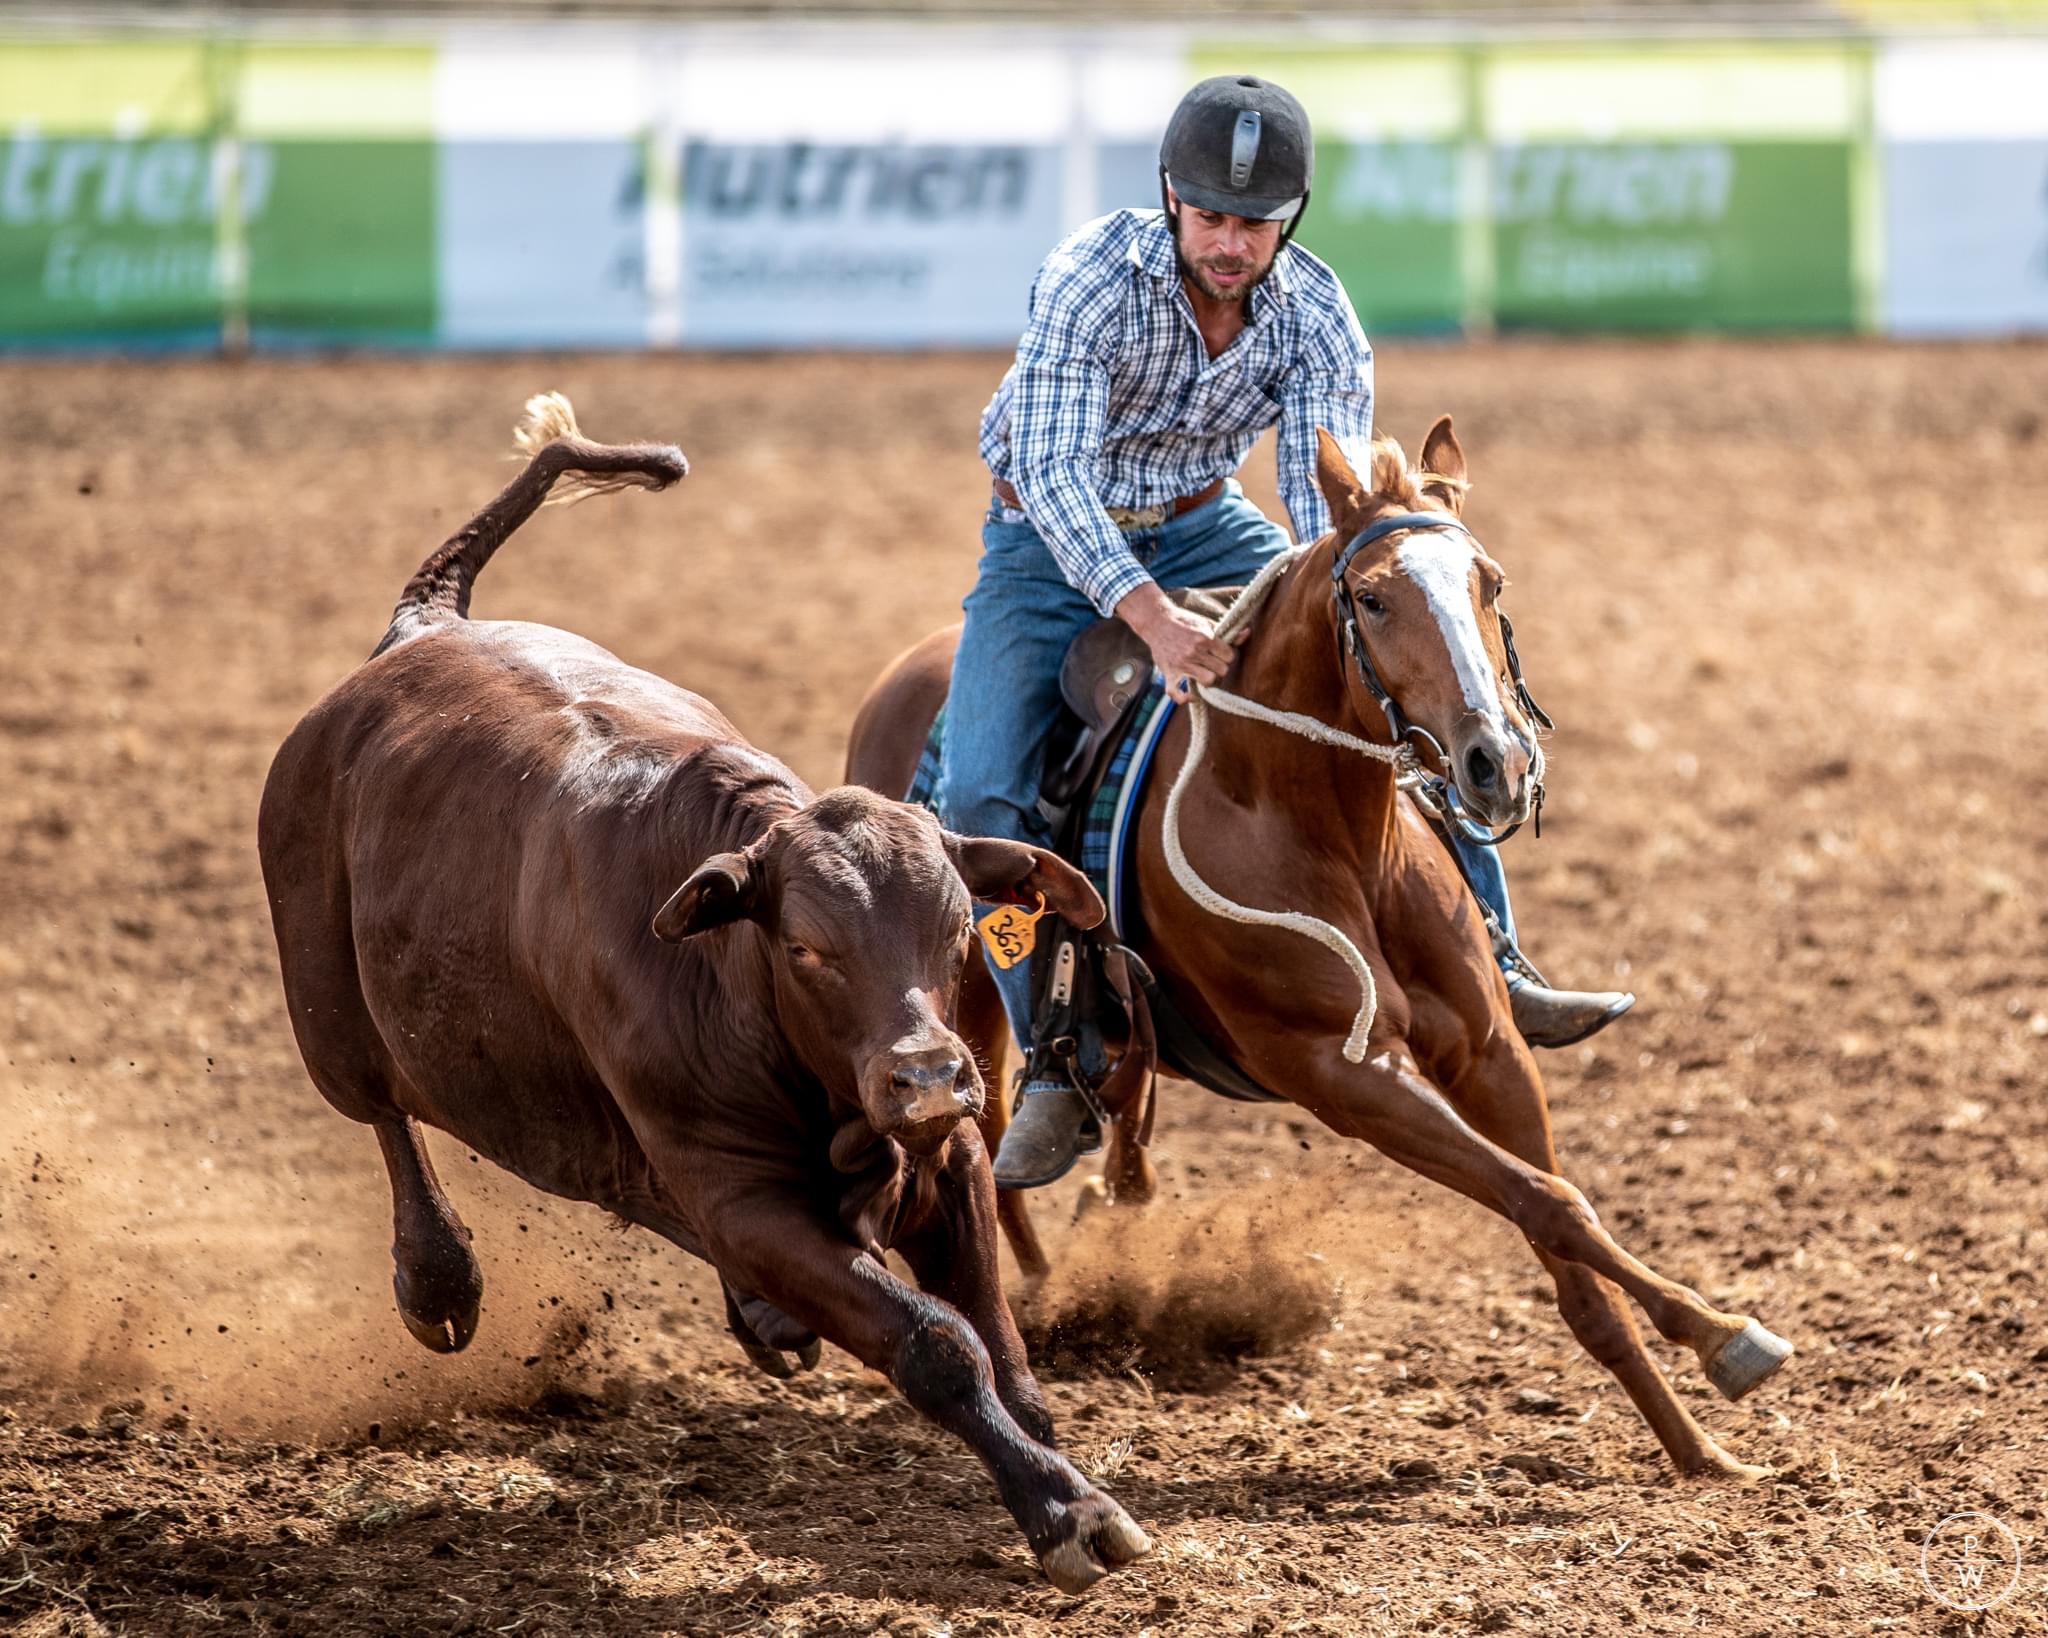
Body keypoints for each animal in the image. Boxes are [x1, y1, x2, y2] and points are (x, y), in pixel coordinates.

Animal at [255, 396, 1150, 1593]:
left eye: (962, 926)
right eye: (808, 949)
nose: (926, 1076)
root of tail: (417, 630)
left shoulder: (951, 1158)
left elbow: (1006, 1357)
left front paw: (1056, 1469)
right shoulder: (742, 1197)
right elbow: (938, 1343)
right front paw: (1062, 1511)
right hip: (328, 1019)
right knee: (386, 1115)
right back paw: (440, 1279)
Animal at [846, 418, 1793, 1481]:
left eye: (1491, 581)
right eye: (1372, 597)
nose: (1497, 764)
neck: (1318, 824)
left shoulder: (1488, 1053)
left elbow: (1565, 1225)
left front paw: (1699, 1447)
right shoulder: (1345, 1073)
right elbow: (1544, 1199)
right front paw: (1725, 1335)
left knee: (1116, 1135)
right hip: (957, 1006)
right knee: (995, 1134)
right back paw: (1048, 1300)